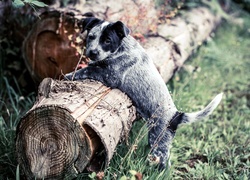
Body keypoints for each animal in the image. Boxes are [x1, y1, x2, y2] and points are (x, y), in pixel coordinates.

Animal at [66, 17, 223, 170]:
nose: (92, 52)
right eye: (91, 37)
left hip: (158, 141)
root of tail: (176, 115)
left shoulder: (110, 76)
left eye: (107, 40)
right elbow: (93, 65)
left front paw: (69, 75)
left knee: (164, 165)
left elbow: (87, 70)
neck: (122, 48)